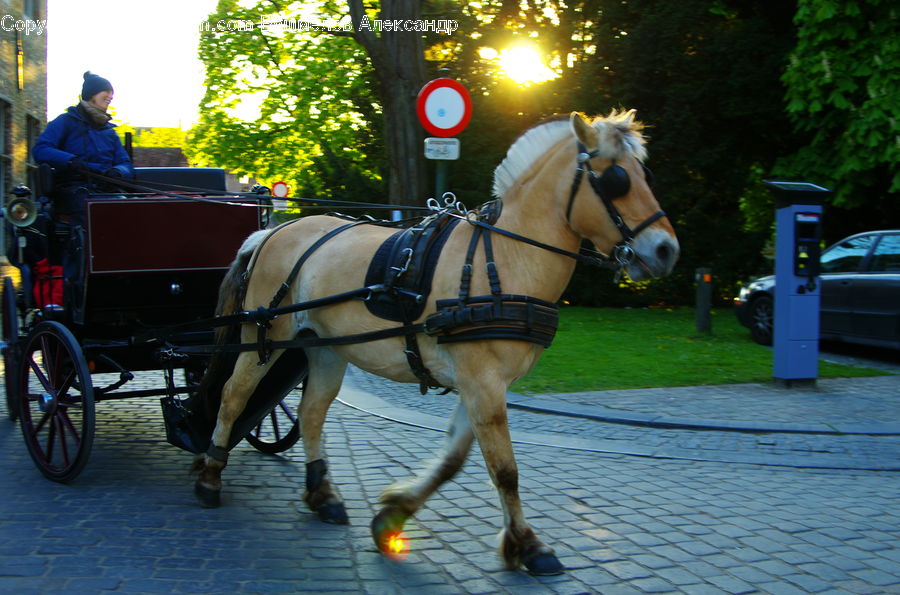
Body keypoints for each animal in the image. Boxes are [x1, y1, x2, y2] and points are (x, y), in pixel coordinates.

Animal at [191, 111, 679, 575]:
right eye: (615, 179)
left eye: (645, 175)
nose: (666, 250)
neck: (504, 260)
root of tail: (271, 232)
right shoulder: (482, 383)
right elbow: (505, 471)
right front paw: (529, 546)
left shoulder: (482, 384)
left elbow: (454, 461)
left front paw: (394, 516)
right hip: (264, 338)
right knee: (234, 397)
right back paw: (211, 474)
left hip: (325, 348)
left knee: (311, 412)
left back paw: (322, 495)